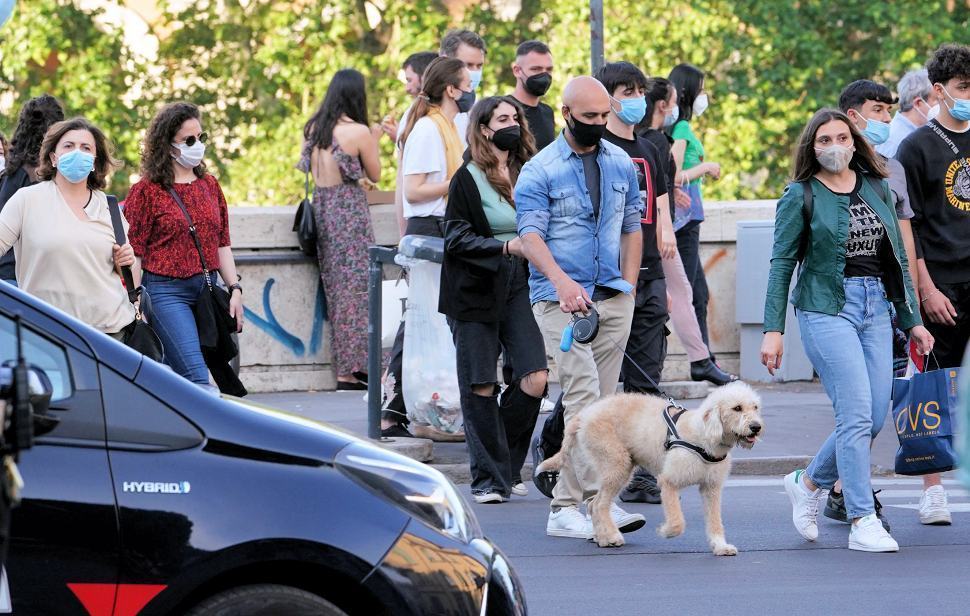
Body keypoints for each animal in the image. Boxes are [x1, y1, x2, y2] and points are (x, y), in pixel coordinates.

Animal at [532, 382, 760, 556]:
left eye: (755, 407)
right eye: (737, 408)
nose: (756, 427)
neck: (704, 436)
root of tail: (585, 414)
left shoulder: (711, 488)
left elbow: (715, 520)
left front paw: (720, 546)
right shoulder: (668, 482)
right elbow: (677, 521)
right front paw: (666, 531)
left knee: (593, 505)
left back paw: (602, 537)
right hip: (617, 464)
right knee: (598, 505)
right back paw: (611, 536)